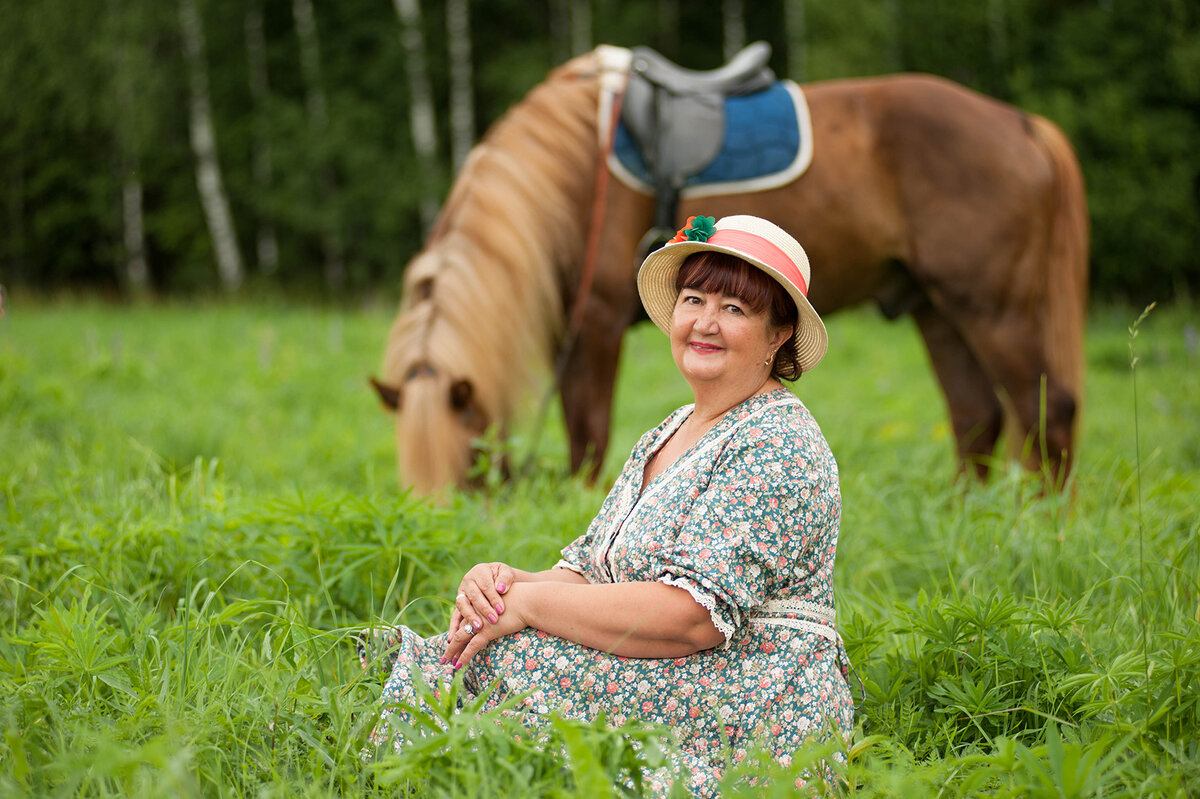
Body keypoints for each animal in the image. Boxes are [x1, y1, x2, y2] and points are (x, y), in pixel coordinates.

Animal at [372, 44, 1089, 491]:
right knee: (977, 418)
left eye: (465, 471)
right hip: (935, 307)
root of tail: (1022, 123)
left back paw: (1040, 530)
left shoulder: (597, 324)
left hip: (992, 306)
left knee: (1047, 410)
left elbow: (588, 441)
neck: (569, 172)